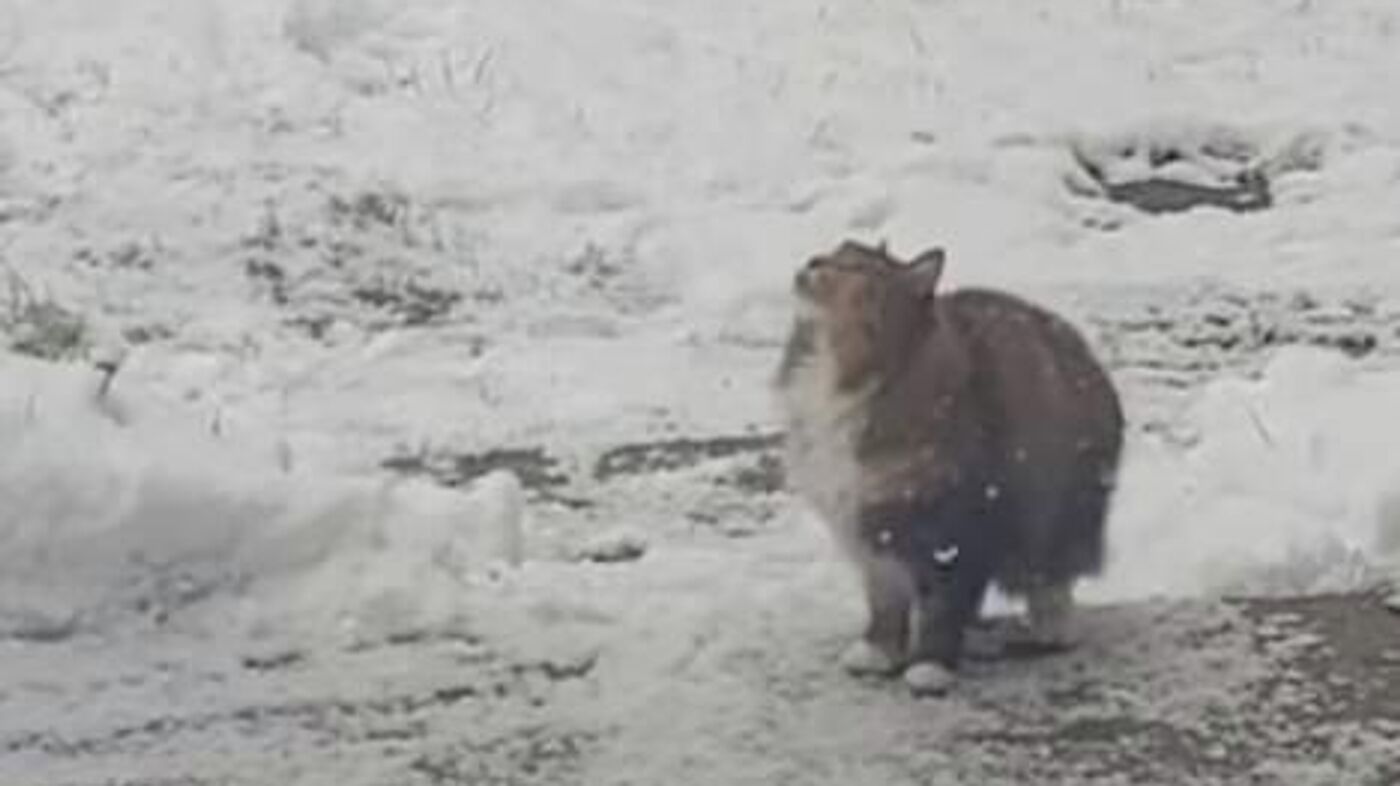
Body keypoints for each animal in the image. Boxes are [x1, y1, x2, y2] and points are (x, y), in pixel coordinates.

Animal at [778, 239, 1125, 692]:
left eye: (854, 266)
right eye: (835, 250)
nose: (812, 261)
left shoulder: (951, 529)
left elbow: (941, 611)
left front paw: (930, 666)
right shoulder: (875, 529)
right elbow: (884, 603)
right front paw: (878, 652)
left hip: (1059, 517)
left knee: (1052, 577)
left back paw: (1049, 625)